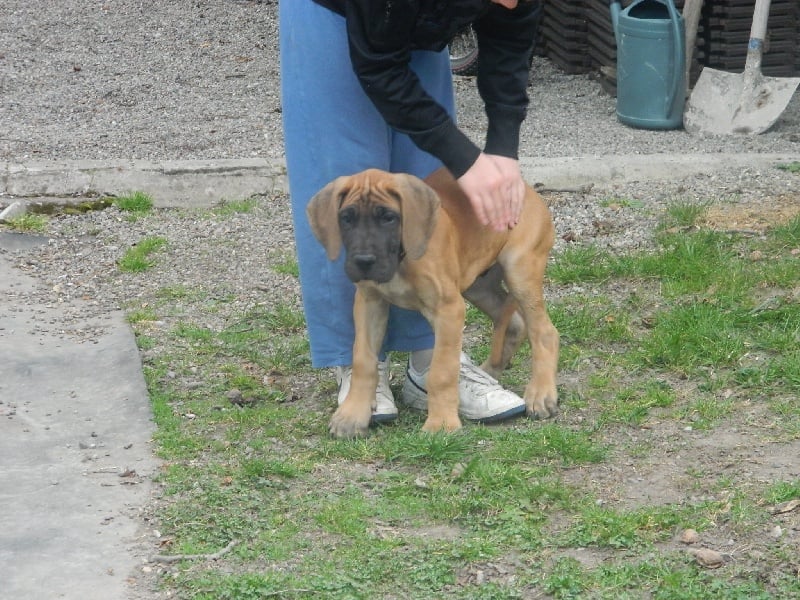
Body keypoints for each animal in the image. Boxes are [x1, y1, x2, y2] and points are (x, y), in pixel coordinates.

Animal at [310, 166, 560, 438]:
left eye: (388, 217)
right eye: (347, 218)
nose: (363, 261)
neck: (401, 258)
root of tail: (524, 186)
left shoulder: (448, 309)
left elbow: (441, 371)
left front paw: (441, 424)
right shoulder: (369, 303)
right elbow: (363, 359)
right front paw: (353, 414)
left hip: (519, 272)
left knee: (544, 331)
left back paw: (541, 393)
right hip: (478, 285)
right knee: (515, 323)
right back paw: (488, 372)